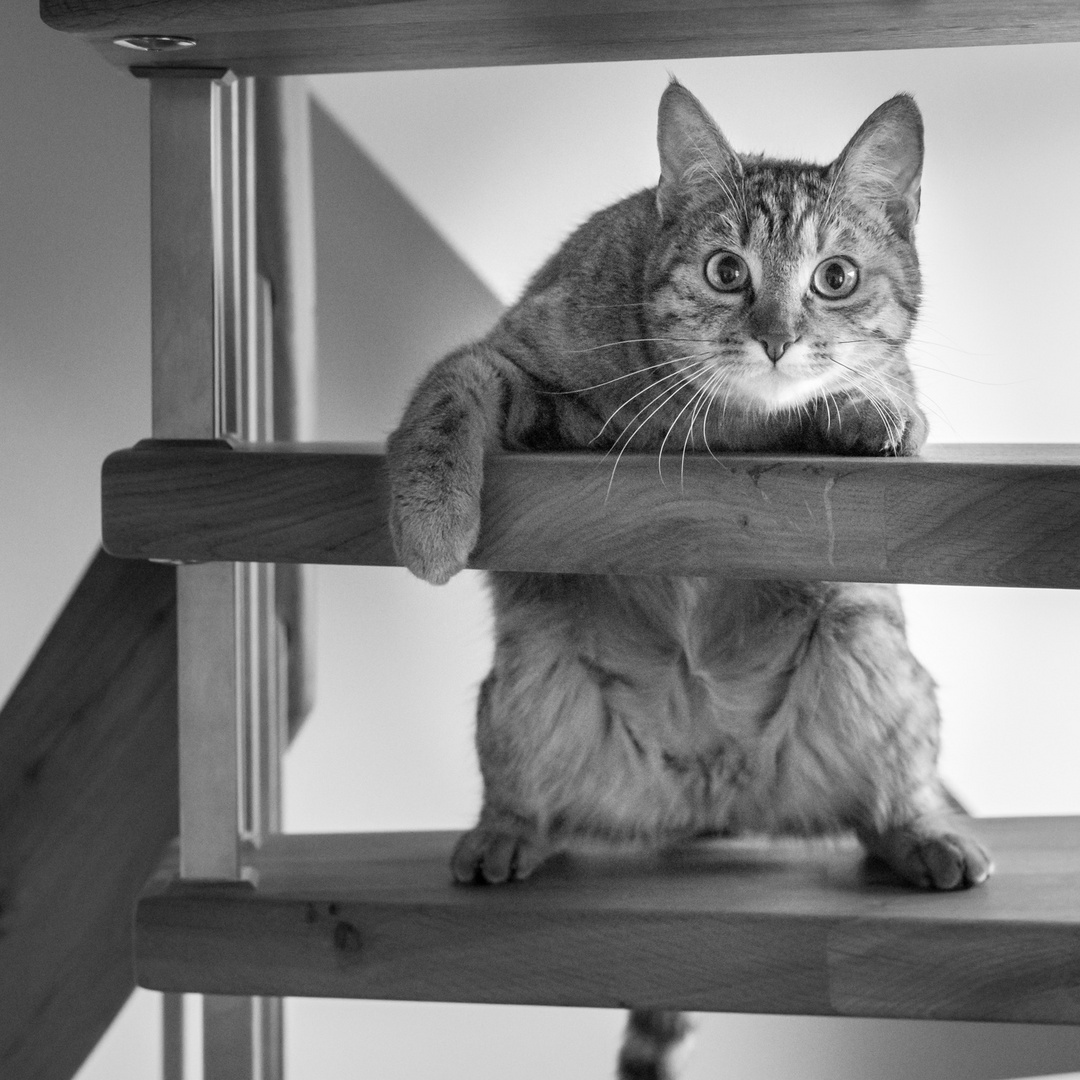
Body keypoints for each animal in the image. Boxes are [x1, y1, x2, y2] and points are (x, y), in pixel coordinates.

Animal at [384, 79, 989, 1075]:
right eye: (725, 272)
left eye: (835, 278)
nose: (777, 338)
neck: (727, 424)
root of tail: (711, 796)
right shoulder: (510, 359)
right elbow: (446, 397)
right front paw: (430, 519)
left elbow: (884, 388)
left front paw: (865, 408)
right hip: (527, 680)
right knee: (526, 798)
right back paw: (507, 832)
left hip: (872, 657)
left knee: (889, 796)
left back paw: (923, 834)